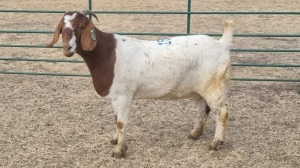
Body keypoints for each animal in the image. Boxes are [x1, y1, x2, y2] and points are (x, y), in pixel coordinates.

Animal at [47, 10, 234, 158]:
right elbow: (116, 119)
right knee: (204, 108)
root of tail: (221, 44)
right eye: (62, 27)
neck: (106, 53)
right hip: (200, 88)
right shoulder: (115, 96)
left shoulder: (124, 95)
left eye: (82, 26)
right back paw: (194, 134)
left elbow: (121, 123)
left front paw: (119, 152)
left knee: (222, 112)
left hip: (213, 86)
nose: (67, 48)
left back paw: (215, 144)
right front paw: (115, 140)